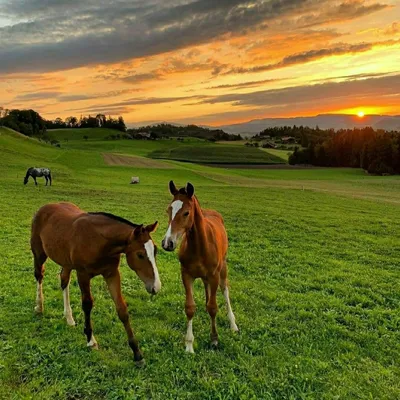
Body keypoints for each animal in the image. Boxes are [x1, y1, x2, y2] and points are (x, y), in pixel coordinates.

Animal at [30, 203, 161, 366]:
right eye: (140, 255)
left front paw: (137, 353)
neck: (100, 241)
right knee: (39, 275)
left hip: (66, 261)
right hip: (39, 253)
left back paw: (69, 318)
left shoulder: (112, 274)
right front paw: (91, 340)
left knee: (64, 280)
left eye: (155, 251)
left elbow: (122, 309)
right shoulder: (83, 275)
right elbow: (87, 304)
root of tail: (44, 207)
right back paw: (39, 307)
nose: (156, 286)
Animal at [162, 181, 238, 354]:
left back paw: (233, 324)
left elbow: (213, 307)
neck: (199, 246)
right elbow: (190, 307)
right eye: (169, 210)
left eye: (186, 213)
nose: (167, 243)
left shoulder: (214, 275)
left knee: (225, 290)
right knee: (207, 289)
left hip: (222, 268)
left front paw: (214, 339)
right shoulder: (186, 274)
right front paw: (189, 344)